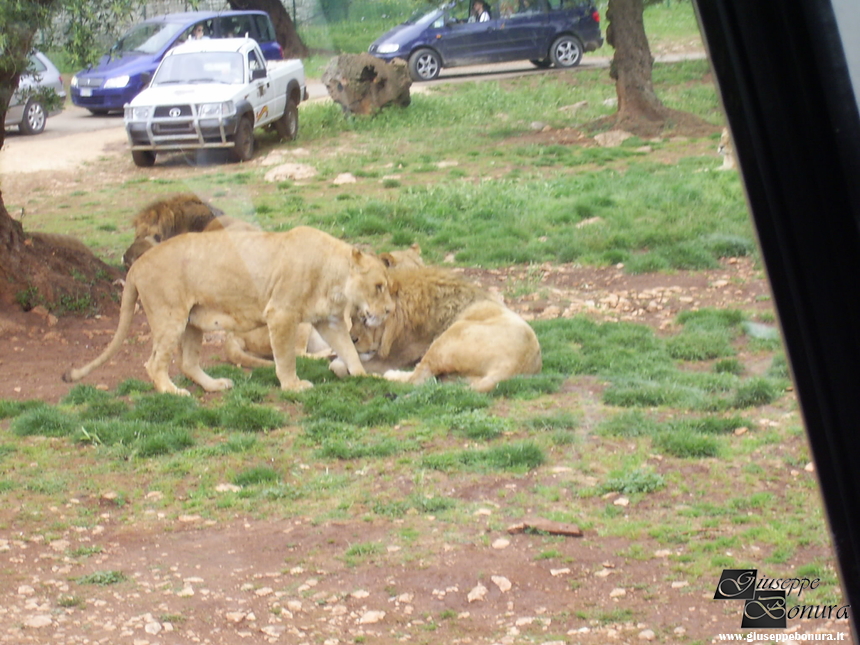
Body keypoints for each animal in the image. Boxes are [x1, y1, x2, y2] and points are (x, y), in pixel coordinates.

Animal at [63, 225, 394, 392]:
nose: (390, 311)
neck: (335, 278)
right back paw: (173, 392)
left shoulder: (330, 321)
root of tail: (136, 266)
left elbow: (349, 351)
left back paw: (215, 385)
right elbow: (286, 357)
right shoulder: (281, 315)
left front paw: (363, 376)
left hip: (193, 322)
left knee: (188, 363)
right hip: (171, 318)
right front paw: (293, 386)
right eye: (379, 286)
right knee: (154, 363)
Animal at [334, 262, 540, 392]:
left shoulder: (395, 356)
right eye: (352, 317)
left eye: (366, 318)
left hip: (449, 338)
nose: (352, 339)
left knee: (416, 379)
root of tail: (511, 367)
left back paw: (390, 375)